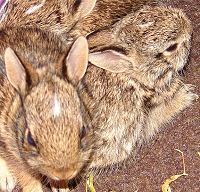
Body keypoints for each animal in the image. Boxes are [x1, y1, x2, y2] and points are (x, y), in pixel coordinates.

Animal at [0, 26, 93, 191]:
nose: (64, 173)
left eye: (83, 131)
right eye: (30, 139)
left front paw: (62, 187)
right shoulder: (11, 149)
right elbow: (26, 176)